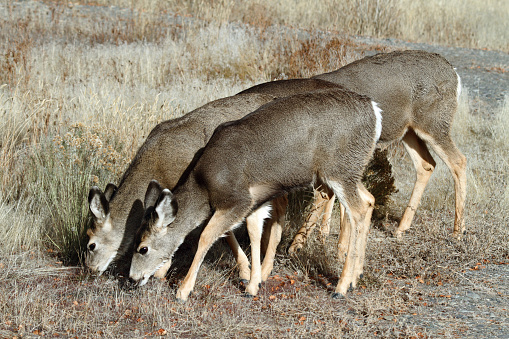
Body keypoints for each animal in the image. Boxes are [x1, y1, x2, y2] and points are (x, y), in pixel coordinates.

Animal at [128, 88, 380, 302]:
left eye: (143, 248)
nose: (132, 278)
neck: (203, 184)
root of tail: (374, 111)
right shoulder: (256, 200)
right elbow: (254, 232)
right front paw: (253, 285)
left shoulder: (238, 199)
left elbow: (206, 236)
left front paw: (183, 290)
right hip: (350, 171)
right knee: (369, 200)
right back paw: (356, 277)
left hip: (339, 170)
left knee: (357, 211)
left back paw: (342, 286)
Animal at [272, 49, 466, 255]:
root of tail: (454, 72)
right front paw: (324, 237)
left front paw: (329, 246)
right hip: (409, 130)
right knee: (426, 164)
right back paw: (401, 230)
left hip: (433, 123)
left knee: (458, 161)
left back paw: (458, 232)